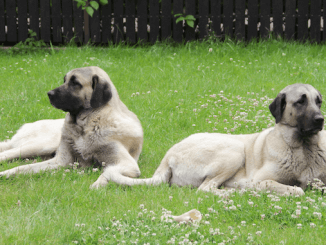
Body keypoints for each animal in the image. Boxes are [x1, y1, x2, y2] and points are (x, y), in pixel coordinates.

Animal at [0, 66, 143, 189]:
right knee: (8, 152)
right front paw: (6, 173)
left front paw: (98, 184)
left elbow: (108, 172)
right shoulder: (61, 160)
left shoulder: (127, 164)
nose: (49, 93)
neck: (85, 125)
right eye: (65, 80)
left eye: (75, 83)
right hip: (42, 145)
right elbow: (23, 168)